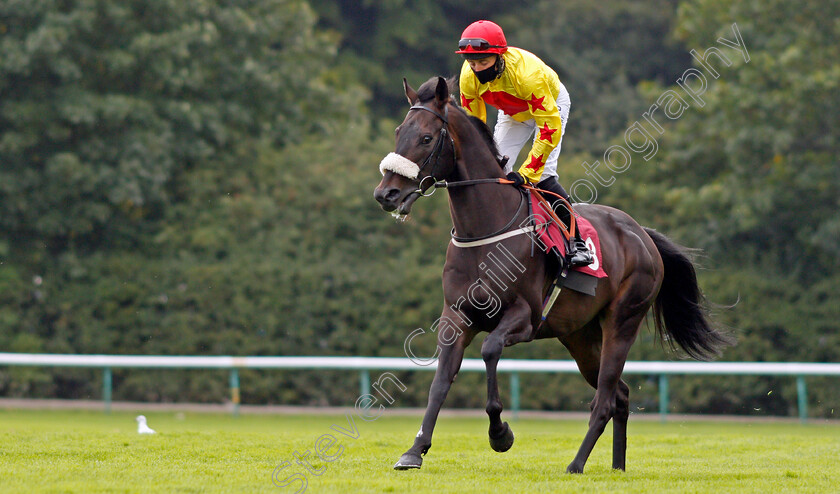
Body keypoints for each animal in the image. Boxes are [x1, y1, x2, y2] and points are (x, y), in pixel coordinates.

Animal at [370, 75, 732, 472]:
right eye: (399, 131)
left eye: (426, 138)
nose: (386, 193)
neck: (485, 230)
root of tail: (642, 235)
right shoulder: (456, 316)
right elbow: (440, 382)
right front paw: (414, 450)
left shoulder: (524, 317)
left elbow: (490, 350)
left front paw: (500, 434)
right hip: (579, 335)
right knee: (620, 394)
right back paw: (617, 467)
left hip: (622, 321)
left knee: (605, 398)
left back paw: (576, 464)